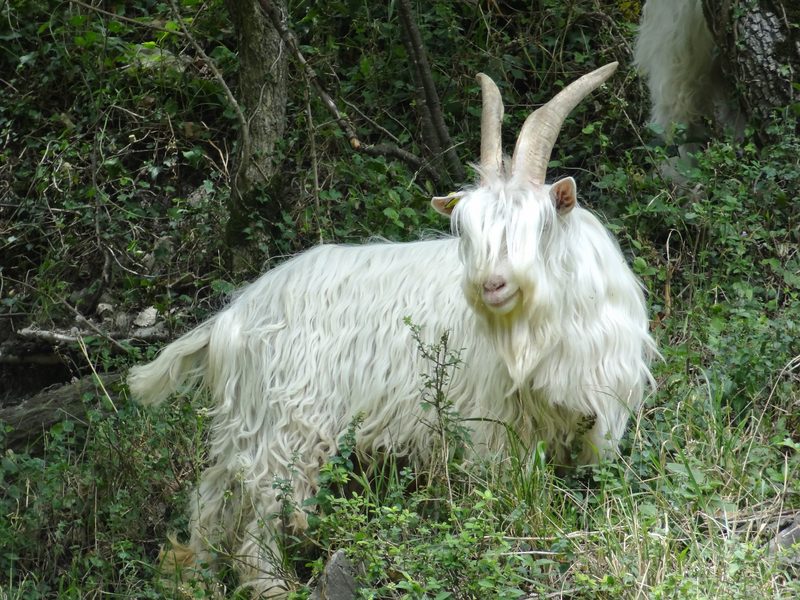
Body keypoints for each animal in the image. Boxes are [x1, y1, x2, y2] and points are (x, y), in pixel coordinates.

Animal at [128, 62, 656, 597]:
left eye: (540, 225)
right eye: (468, 230)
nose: (491, 284)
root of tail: (235, 314)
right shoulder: (495, 428)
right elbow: (509, 493)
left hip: (246, 423)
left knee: (213, 496)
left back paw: (191, 573)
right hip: (289, 423)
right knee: (260, 510)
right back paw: (272, 583)